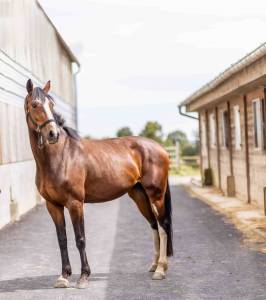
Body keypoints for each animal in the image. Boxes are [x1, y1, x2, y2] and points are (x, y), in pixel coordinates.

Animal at [23, 79, 174, 288]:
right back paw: (154, 265)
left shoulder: (75, 203)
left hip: (156, 194)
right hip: (139, 195)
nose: (53, 134)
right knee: (153, 225)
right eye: (35, 105)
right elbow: (62, 239)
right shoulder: (53, 205)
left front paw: (84, 276)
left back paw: (160, 270)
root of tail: (160, 148)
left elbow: (80, 238)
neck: (60, 156)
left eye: (52, 105)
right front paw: (63, 276)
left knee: (163, 226)